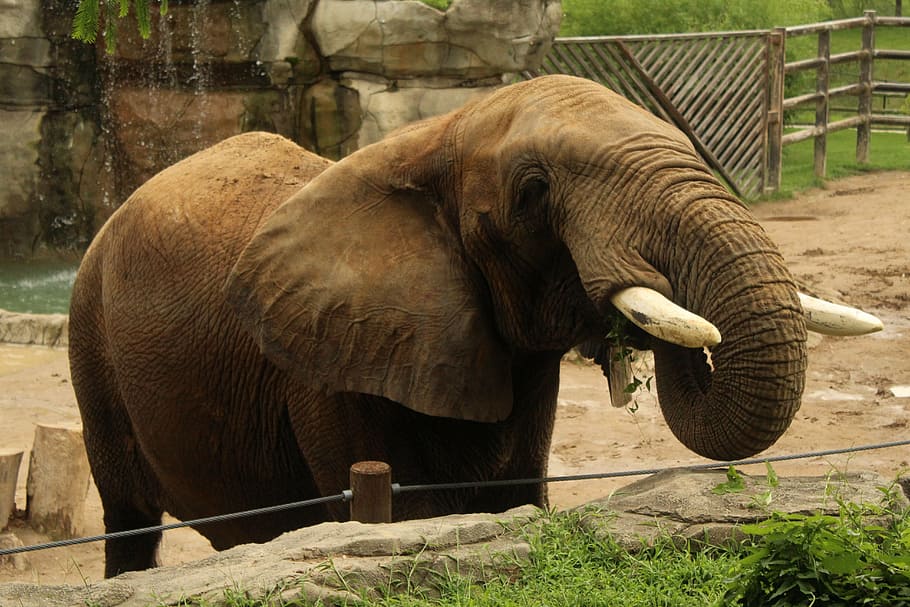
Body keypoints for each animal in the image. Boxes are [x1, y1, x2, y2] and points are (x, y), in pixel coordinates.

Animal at [68, 75, 881, 577]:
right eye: (534, 193)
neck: (437, 134)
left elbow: (516, 504)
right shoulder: (328, 365)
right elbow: (400, 516)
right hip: (89, 335)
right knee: (129, 520)